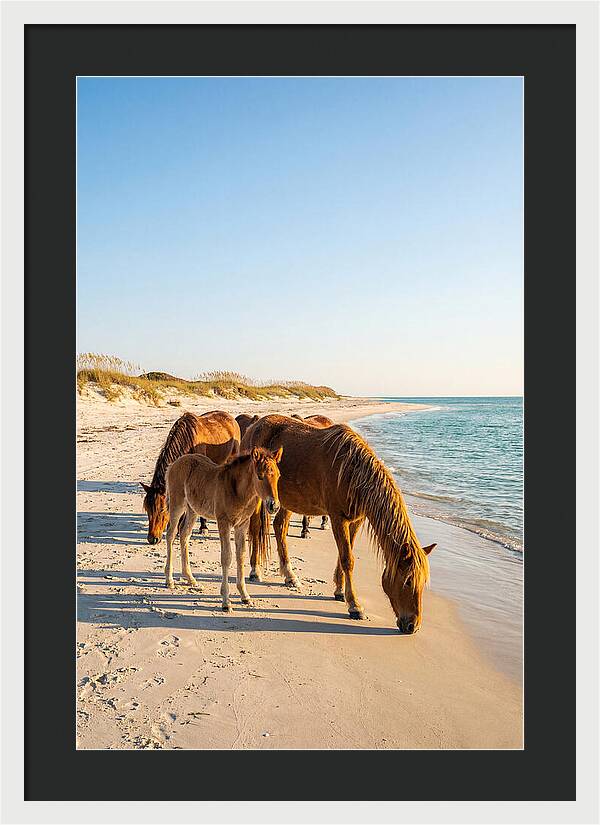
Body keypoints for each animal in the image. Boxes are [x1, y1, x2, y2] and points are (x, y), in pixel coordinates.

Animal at [141, 410, 240, 545]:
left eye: (162, 509)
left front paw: (203, 527)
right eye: (147, 509)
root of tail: (230, 418)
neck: (188, 441)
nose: (152, 539)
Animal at [165, 446, 283, 611]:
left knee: (184, 534)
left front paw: (245, 595)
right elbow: (227, 557)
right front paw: (226, 601)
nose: (274, 506)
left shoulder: (242, 524)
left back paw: (190, 578)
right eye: (260, 476)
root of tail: (174, 463)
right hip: (177, 504)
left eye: (278, 476)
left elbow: (241, 555)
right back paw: (169, 580)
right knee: (171, 534)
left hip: (193, 509)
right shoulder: (224, 522)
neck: (238, 491)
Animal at [243, 415, 436, 633]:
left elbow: (344, 554)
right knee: (256, 527)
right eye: (408, 581)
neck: (353, 472)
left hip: (287, 500)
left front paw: (339, 591)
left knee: (279, 527)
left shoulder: (356, 520)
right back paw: (255, 570)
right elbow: (347, 559)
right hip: (259, 497)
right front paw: (355, 606)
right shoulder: (337, 518)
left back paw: (290, 576)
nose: (413, 626)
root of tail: (254, 425)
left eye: (423, 582)